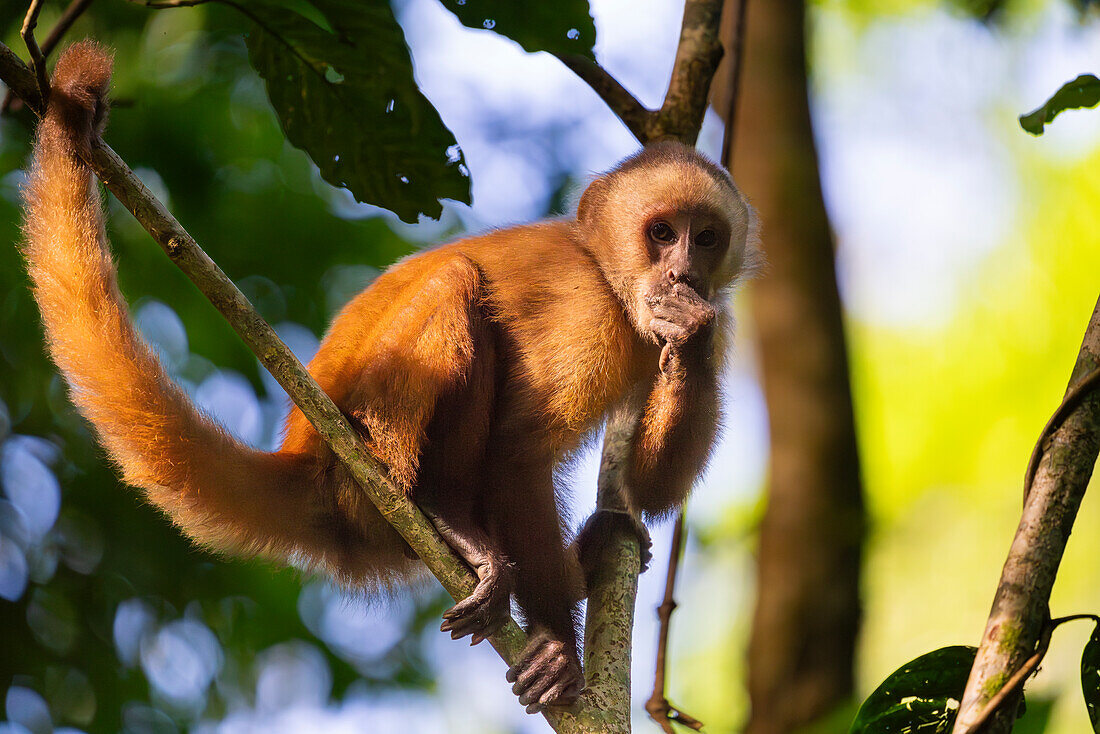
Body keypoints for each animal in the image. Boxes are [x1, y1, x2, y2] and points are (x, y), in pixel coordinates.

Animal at [21, 40, 756, 713]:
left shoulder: (704, 318)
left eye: (705, 238)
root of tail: (305, 459)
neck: (608, 276)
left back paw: (590, 548)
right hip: (360, 462)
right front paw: (555, 644)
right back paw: (444, 514)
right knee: (454, 286)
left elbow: (651, 486)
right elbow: (518, 450)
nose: (682, 271)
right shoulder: (590, 313)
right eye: (661, 233)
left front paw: (687, 334)